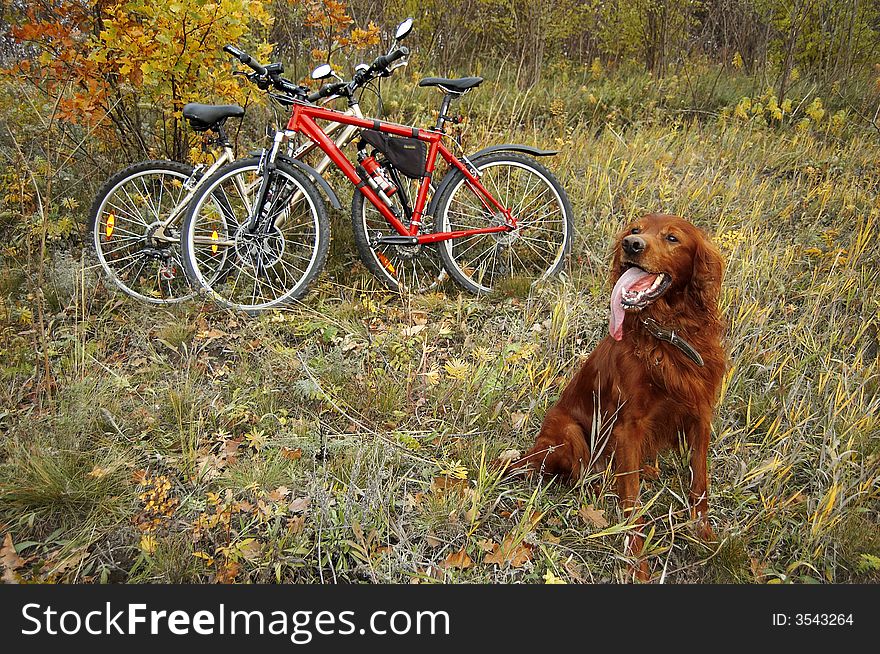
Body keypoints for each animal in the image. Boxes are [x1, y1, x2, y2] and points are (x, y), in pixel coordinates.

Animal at [512, 213, 724, 580]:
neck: (667, 334)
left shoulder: (700, 414)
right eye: (635, 230)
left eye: (672, 238)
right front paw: (636, 565)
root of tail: (532, 452)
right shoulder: (629, 426)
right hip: (569, 434)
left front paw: (703, 533)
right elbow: (632, 504)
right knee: (583, 477)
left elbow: (700, 482)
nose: (631, 245)